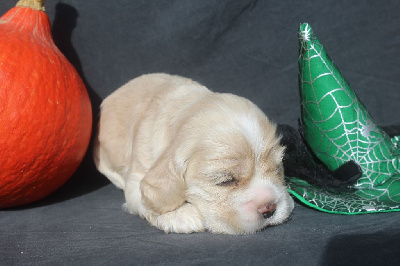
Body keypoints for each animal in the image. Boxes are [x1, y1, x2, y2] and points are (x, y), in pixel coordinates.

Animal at [94, 73, 294, 235]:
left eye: (277, 169)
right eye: (225, 181)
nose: (269, 207)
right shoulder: (138, 174)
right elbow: (146, 198)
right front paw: (180, 214)